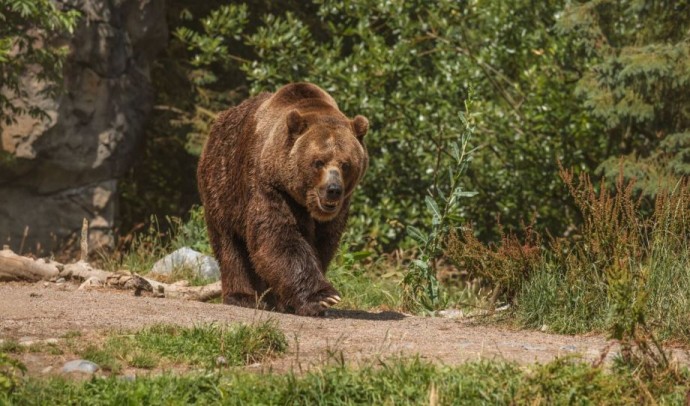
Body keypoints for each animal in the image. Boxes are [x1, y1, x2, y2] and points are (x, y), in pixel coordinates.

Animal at [196, 83, 368, 318]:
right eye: (318, 162)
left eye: (346, 164)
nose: (333, 190)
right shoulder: (270, 186)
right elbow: (279, 237)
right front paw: (322, 297)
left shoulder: (335, 213)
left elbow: (323, 244)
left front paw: (292, 302)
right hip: (222, 185)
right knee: (230, 244)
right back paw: (242, 296)